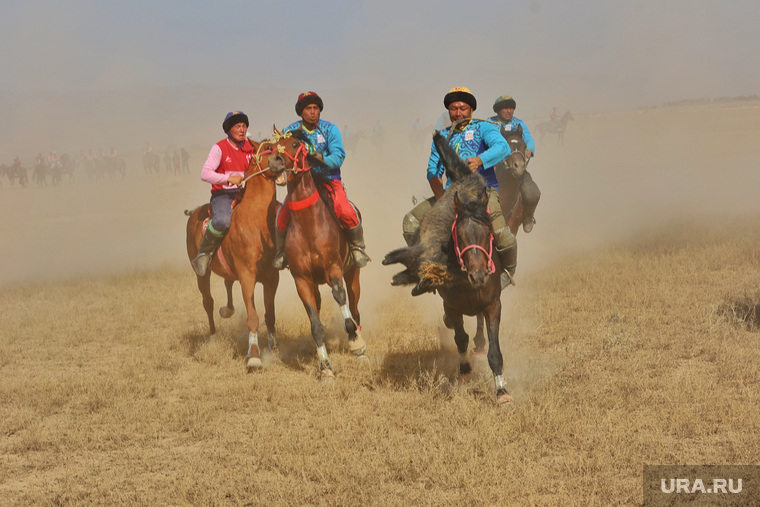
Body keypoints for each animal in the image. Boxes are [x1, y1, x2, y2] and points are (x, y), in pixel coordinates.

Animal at [184, 136, 288, 374]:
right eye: (267, 147)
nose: (281, 160)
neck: (255, 220)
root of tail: (194, 213)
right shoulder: (247, 276)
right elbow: (253, 317)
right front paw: (254, 357)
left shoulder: (271, 278)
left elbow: (270, 316)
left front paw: (274, 349)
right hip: (201, 274)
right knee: (208, 302)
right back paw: (213, 337)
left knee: (227, 284)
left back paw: (227, 310)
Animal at [266, 129, 366, 380]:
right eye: (274, 146)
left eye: (294, 144)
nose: (274, 161)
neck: (309, 224)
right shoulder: (302, 279)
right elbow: (315, 325)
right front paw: (325, 367)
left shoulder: (334, 270)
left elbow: (342, 301)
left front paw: (355, 342)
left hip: (353, 274)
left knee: (355, 307)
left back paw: (360, 345)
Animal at [382, 133, 512, 406]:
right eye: (459, 236)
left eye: (488, 232)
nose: (479, 276)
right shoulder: (451, 304)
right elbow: (460, 338)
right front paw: (464, 373)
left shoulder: (493, 304)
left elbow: (495, 351)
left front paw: (502, 392)